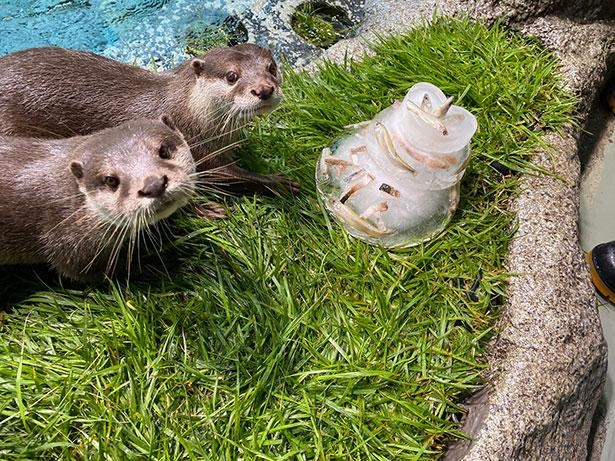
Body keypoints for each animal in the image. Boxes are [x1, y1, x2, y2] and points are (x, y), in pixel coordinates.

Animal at [0, 43, 298, 194]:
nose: (264, 90)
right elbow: (229, 175)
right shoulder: (198, 149)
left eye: (272, 68)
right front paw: (279, 180)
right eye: (232, 76)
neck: (189, 113)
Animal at [0, 115, 196, 280]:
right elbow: (89, 272)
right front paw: (152, 266)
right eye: (111, 180)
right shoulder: (70, 246)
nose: (154, 186)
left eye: (164, 150)